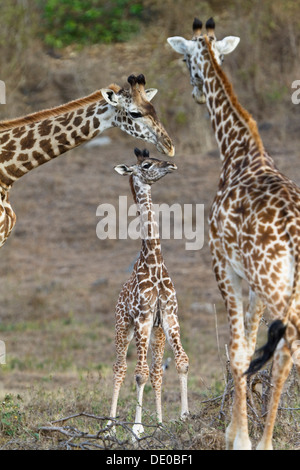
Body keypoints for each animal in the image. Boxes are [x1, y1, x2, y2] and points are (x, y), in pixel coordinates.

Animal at [109, 149, 189, 438]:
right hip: (124, 326)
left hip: (156, 333)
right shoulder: (142, 318)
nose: (172, 164)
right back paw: (109, 427)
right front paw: (137, 428)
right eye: (146, 164)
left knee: (156, 371)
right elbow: (139, 373)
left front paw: (183, 417)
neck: (154, 262)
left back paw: (160, 422)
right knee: (120, 367)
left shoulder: (169, 316)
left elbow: (181, 362)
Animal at [168, 19, 300, 452]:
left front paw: (240, 437)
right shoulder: (252, 281)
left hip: (273, 280)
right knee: (285, 351)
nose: (195, 93)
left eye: (185, 60)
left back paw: (263, 441)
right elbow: (252, 346)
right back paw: (267, 441)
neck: (238, 152)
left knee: (289, 344)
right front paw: (240, 431)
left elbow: (238, 351)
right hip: (280, 283)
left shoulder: (224, 265)